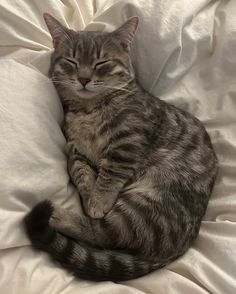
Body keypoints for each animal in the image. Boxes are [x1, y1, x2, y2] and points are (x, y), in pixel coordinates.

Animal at [24, 12, 218, 282]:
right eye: (71, 61)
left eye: (101, 62)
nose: (84, 79)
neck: (89, 110)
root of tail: (178, 250)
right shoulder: (76, 152)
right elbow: (82, 175)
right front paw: (89, 196)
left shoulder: (127, 143)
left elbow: (108, 178)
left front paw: (97, 203)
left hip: (145, 205)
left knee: (103, 234)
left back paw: (57, 215)